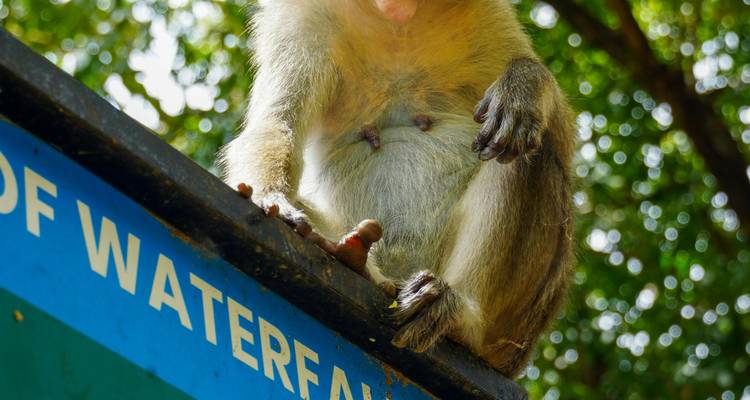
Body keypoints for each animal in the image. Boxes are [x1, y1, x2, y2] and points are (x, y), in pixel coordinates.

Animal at [221, 0, 575, 377]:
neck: (398, 18)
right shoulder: (302, 18)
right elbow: (277, 122)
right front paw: (271, 196)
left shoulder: (487, 14)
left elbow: (561, 138)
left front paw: (524, 85)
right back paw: (353, 259)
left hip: (517, 328)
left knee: (527, 153)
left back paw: (464, 322)